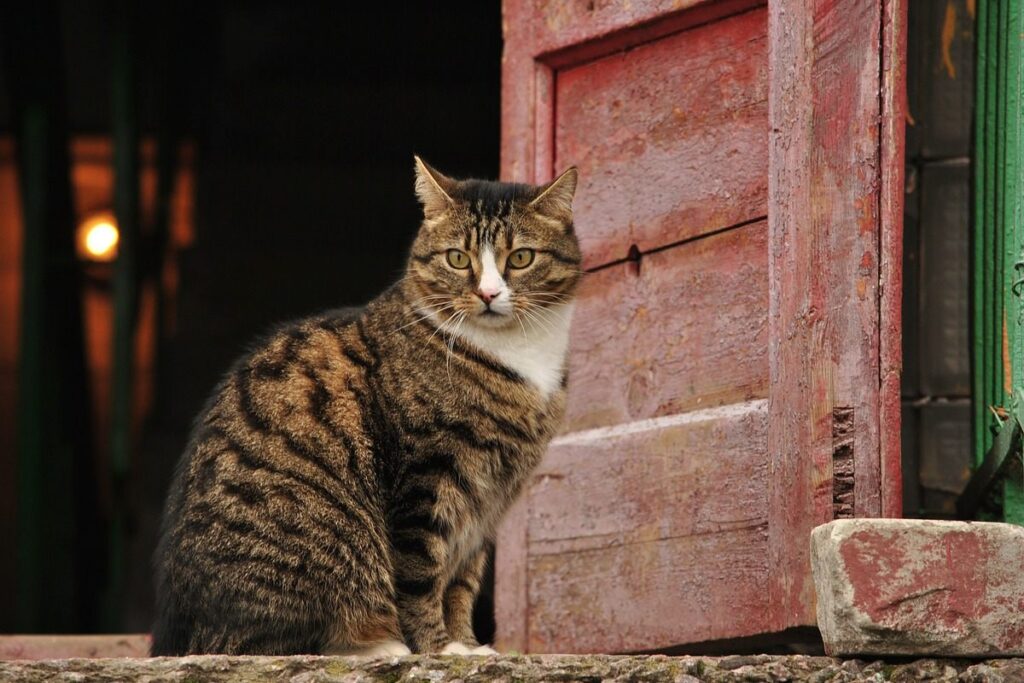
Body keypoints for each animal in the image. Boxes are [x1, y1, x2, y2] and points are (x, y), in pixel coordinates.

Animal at [151, 157, 585, 655]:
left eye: (521, 258)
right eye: (458, 258)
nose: (488, 294)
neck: (518, 354)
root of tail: (181, 637)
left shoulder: (484, 506)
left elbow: (462, 582)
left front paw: (466, 642)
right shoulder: (426, 476)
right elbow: (422, 577)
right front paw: (438, 649)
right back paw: (380, 644)